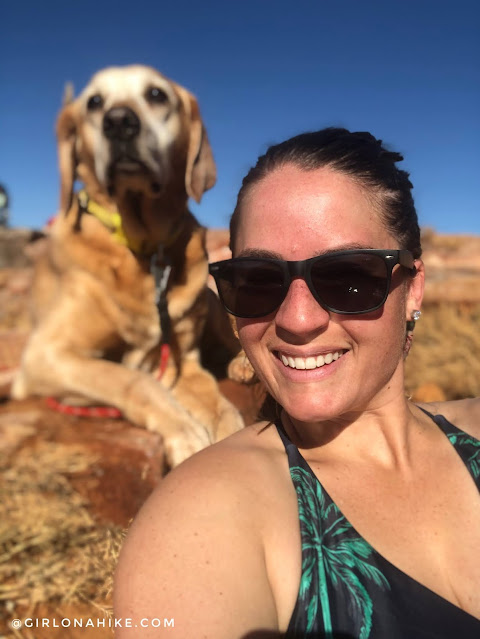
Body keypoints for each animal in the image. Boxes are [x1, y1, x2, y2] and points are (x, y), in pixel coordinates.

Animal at [12, 65, 244, 468]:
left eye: (156, 94)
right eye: (94, 102)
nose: (119, 122)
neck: (144, 247)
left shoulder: (186, 361)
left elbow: (219, 404)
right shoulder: (45, 354)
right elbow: (131, 379)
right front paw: (184, 430)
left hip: (213, 307)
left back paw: (242, 365)